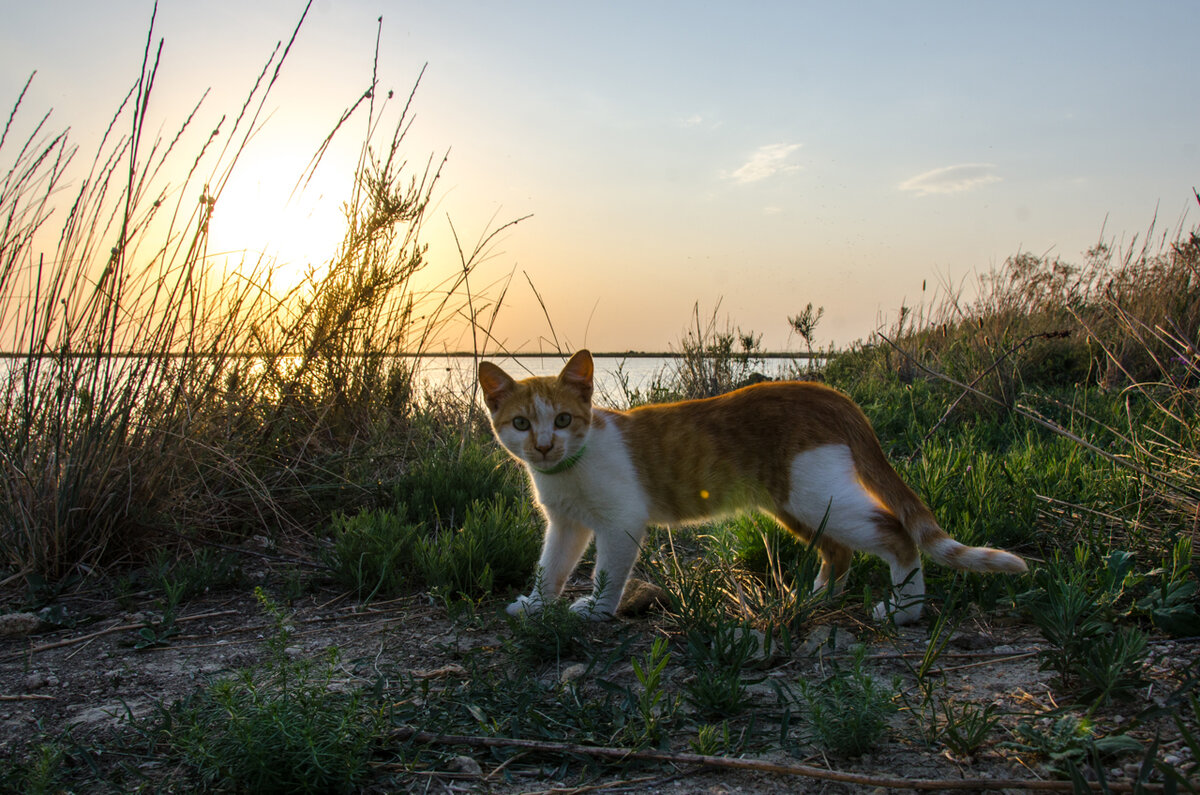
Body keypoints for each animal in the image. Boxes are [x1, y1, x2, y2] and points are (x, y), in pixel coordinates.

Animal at [475, 353, 1022, 624]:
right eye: (521, 423)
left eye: (564, 419)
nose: (545, 446)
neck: (569, 469)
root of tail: (826, 392)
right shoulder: (566, 524)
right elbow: (550, 567)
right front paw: (536, 605)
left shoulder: (620, 522)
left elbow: (607, 573)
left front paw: (596, 612)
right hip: (797, 505)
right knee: (839, 551)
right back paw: (815, 602)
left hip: (814, 496)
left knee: (896, 534)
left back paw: (905, 612)